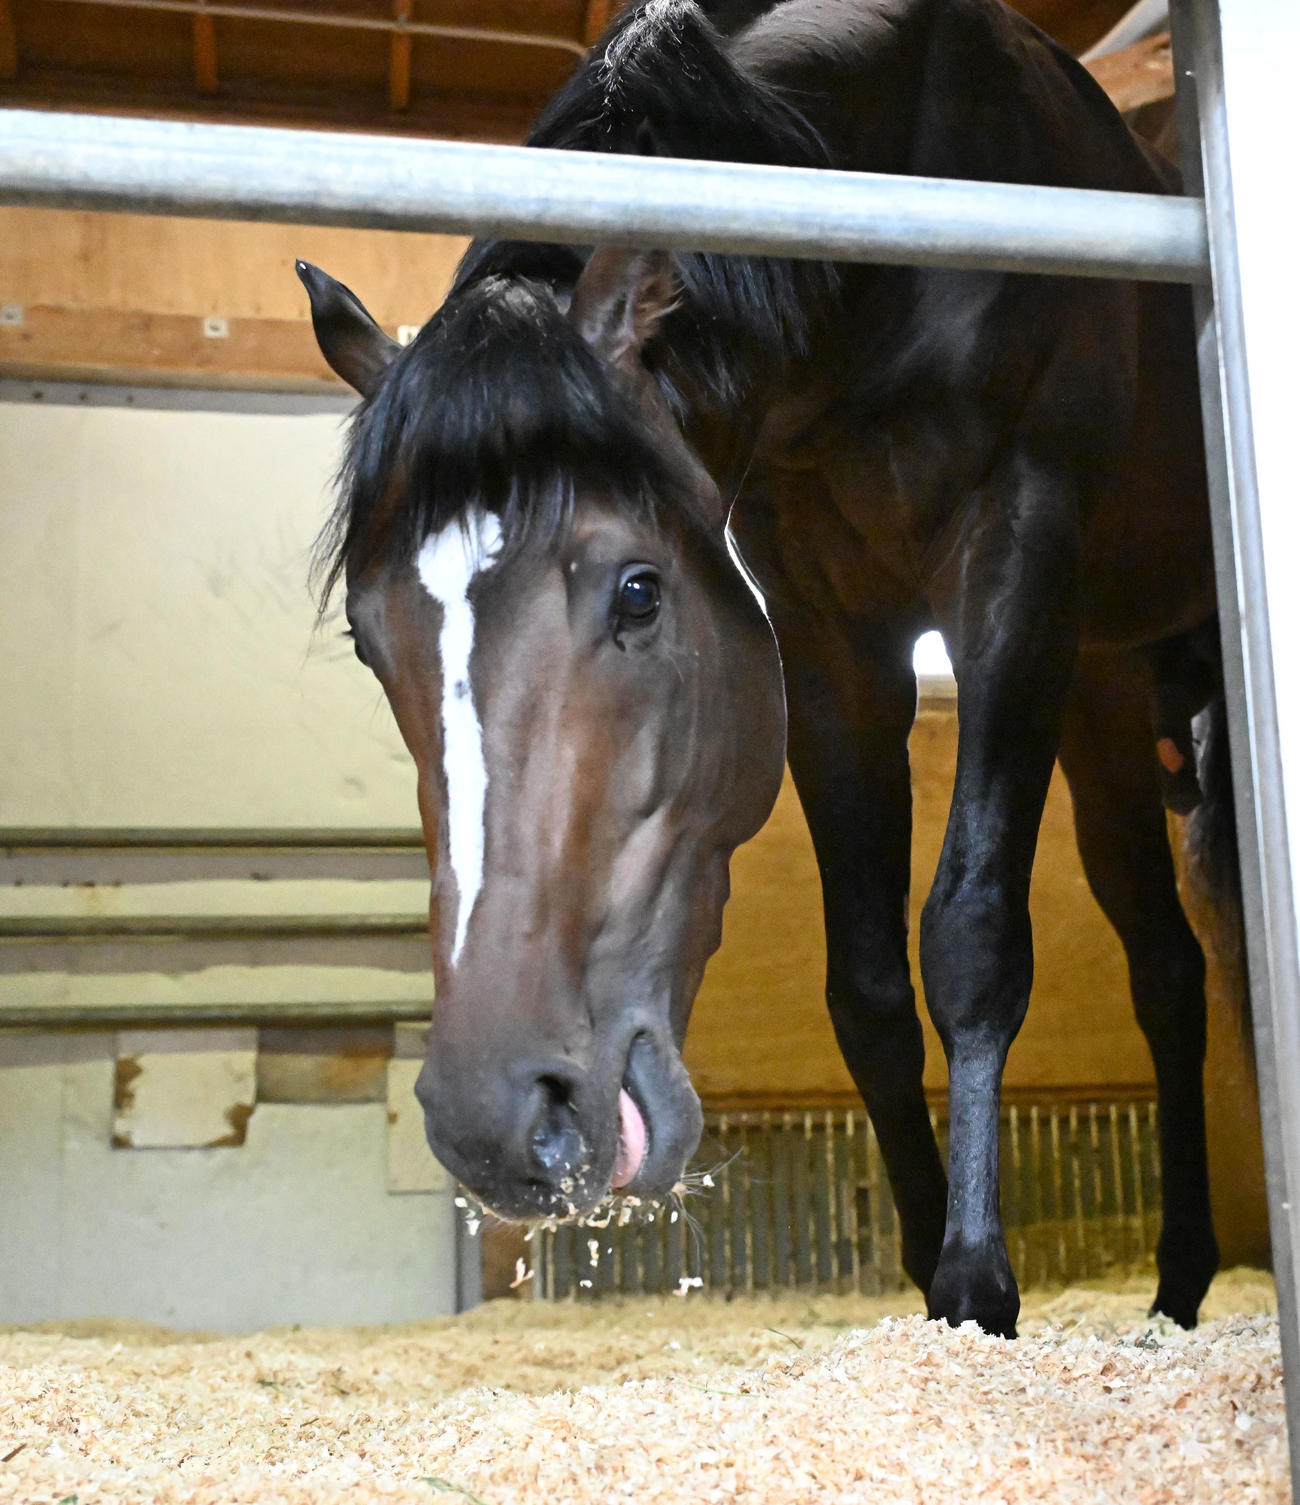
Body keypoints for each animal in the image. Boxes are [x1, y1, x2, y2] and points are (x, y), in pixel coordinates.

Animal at [296, 0, 1228, 1338]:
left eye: (638, 591)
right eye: (373, 640)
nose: (495, 1119)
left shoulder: (1014, 566)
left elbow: (971, 935)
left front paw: (975, 1282)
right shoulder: (829, 642)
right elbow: (868, 991)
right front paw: (922, 1264)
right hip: (1100, 693)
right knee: (1165, 968)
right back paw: (1180, 1281)